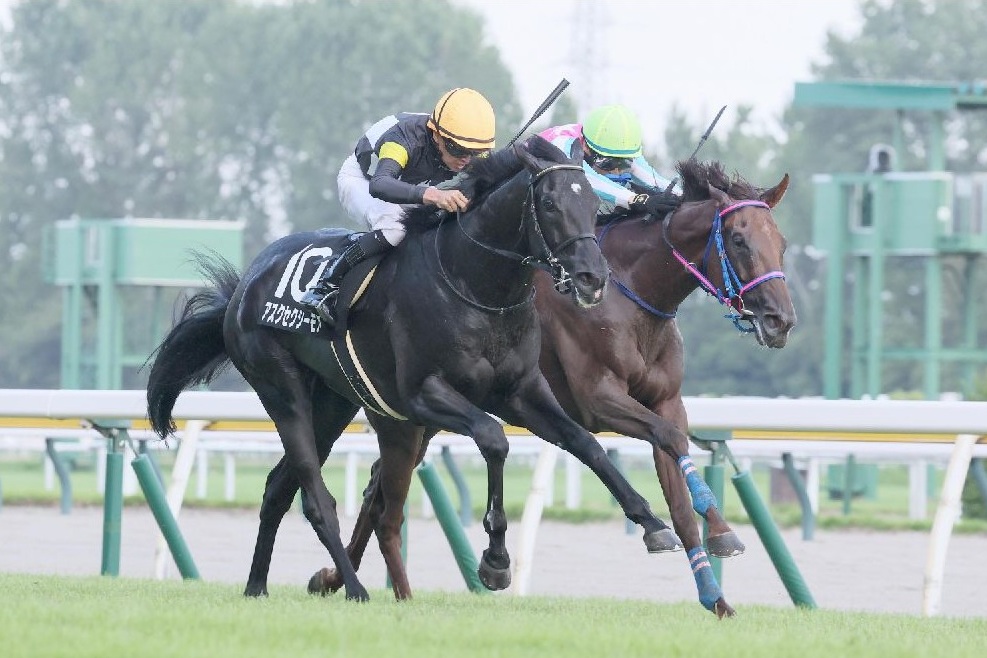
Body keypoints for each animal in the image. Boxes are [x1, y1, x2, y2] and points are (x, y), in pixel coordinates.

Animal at [146, 135, 685, 602]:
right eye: (550, 205)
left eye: (593, 205)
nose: (593, 278)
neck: (477, 285)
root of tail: (245, 285)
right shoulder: (423, 395)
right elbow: (494, 439)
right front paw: (495, 561)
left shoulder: (522, 392)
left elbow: (585, 443)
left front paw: (653, 524)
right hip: (281, 388)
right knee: (316, 498)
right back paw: (355, 588)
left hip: (331, 403)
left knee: (279, 487)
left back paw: (257, 586)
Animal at [309, 159, 795, 618]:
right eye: (738, 240)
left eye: (783, 243)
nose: (781, 320)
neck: (630, 292)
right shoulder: (598, 400)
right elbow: (667, 439)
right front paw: (717, 534)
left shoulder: (667, 401)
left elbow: (677, 488)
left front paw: (718, 590)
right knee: (380, 490)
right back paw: (342, 577)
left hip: (422, 418)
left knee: (378, 488)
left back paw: (333, 577)